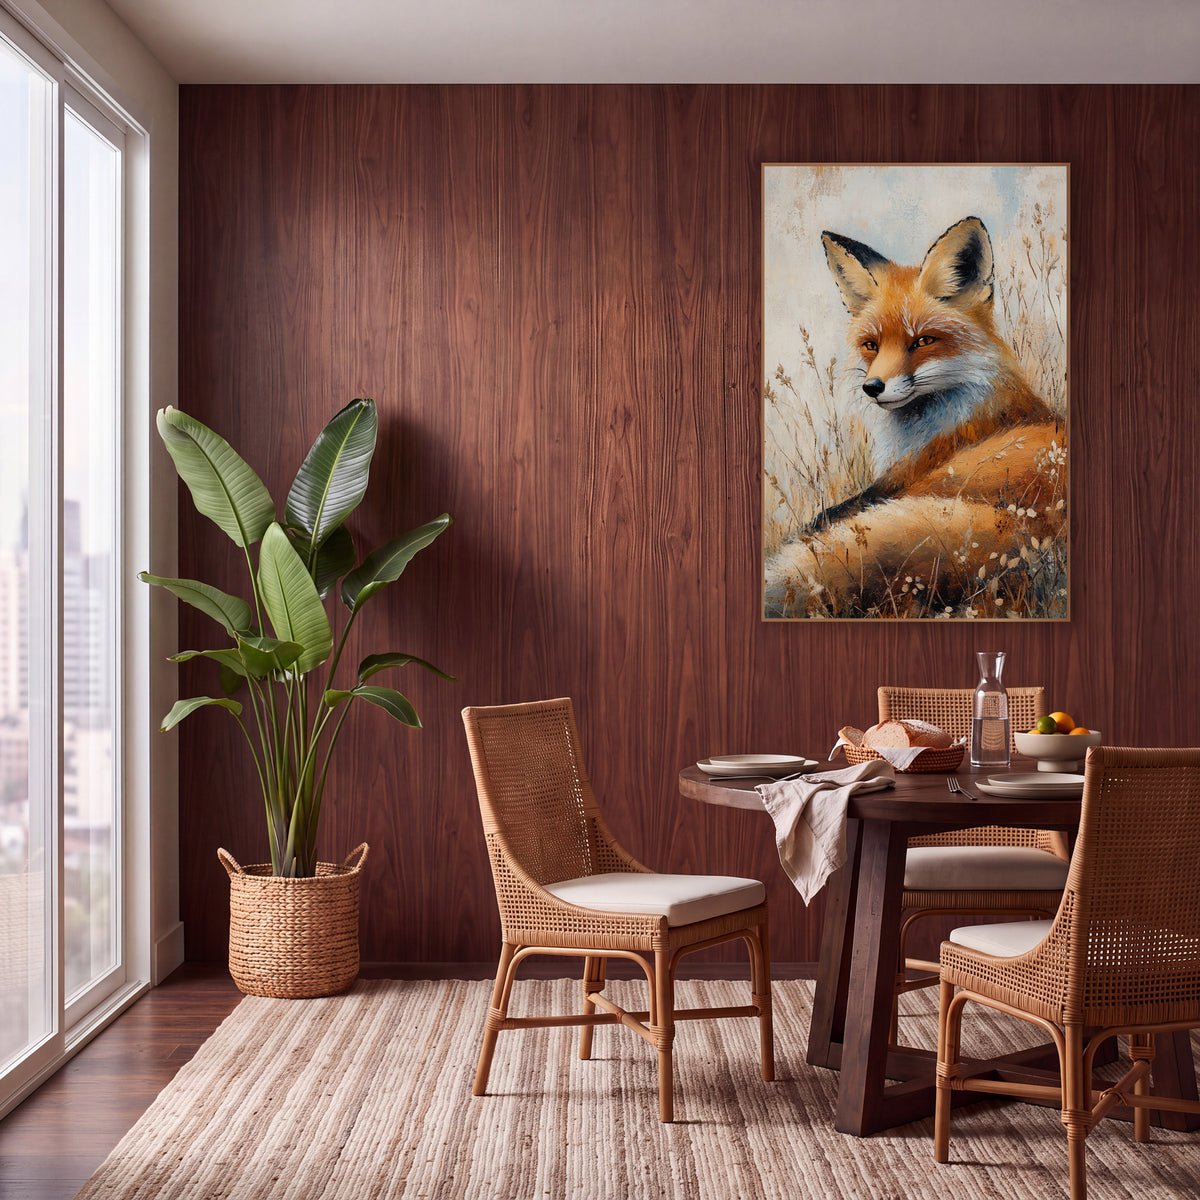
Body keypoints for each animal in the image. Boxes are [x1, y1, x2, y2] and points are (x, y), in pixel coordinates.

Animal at [764, 216, 1066, 619]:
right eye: (871, 345)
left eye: (922, 341)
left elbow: (824, 518)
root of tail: (1029, 532)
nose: (872, 387)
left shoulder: (898, 480)